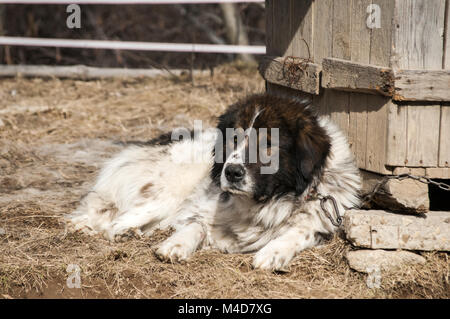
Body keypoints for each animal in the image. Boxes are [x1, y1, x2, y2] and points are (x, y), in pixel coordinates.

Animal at [67, 94, 362, 272]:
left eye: (268, 144)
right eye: (234, 139)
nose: (231, 172)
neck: (268, 202)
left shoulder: (323, 220)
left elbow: (299, 231)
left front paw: (274, 251)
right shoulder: (206, 206)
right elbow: (196, 224)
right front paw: (176, 244)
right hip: (168, 191)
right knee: (114, 220)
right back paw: (114, 230)